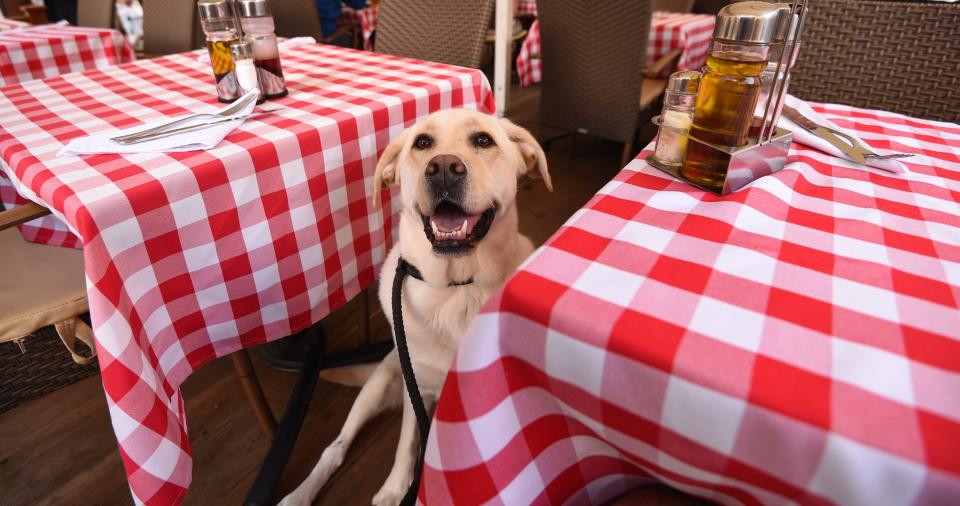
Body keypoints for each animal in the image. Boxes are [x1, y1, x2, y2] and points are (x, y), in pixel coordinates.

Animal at [274, 107, 552, 506]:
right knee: (335, 448)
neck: (455, 288)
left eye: (484, 140)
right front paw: (396, 488)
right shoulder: (416, 384)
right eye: (422, 143)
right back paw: (300, 494)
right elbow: (407, 440)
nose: (444, 168)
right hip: (379, 382)